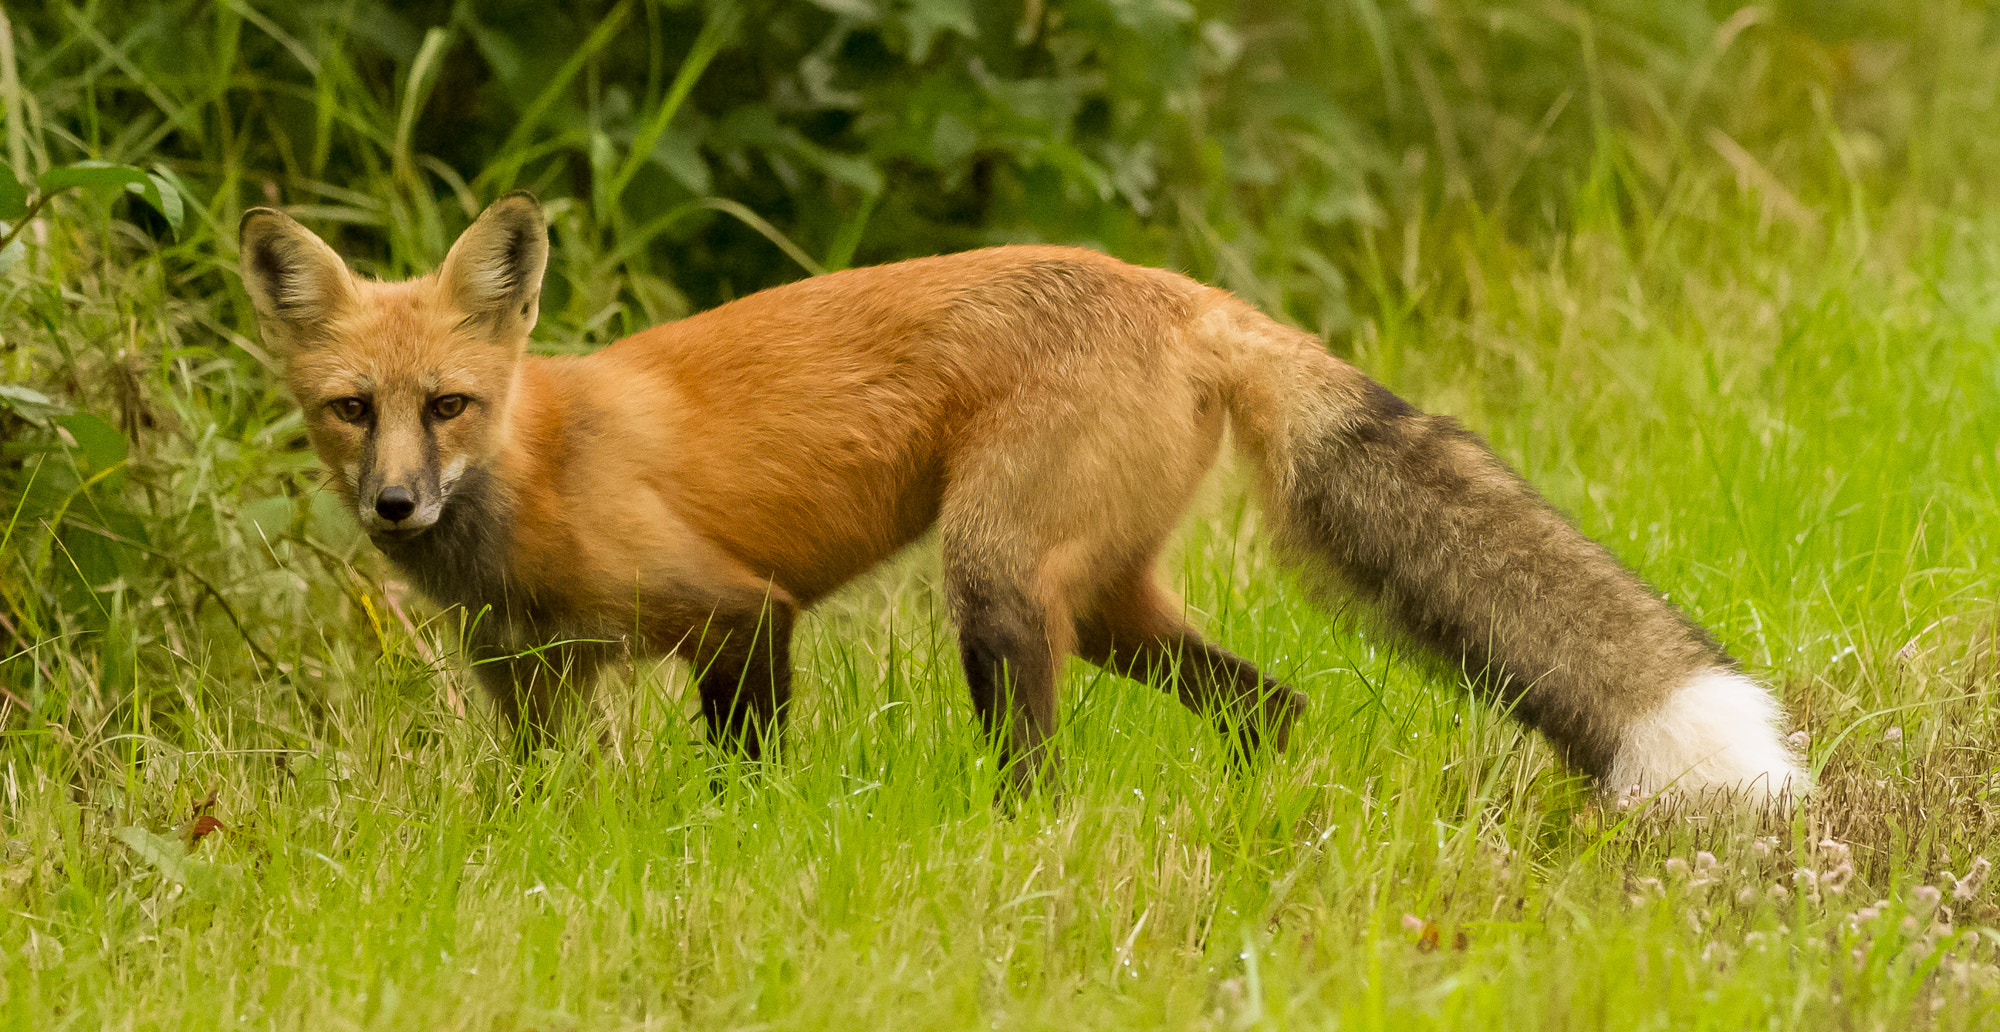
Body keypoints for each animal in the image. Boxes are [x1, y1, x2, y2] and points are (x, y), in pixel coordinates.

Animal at [242, 194, 1808, 808]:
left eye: (449, 404)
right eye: (351, 411)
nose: (395, 508)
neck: (533, 474)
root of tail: (1172, 288)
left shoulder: (738, 614)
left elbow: (742, 784)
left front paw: (734, 844)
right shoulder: (532, 686)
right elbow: (535, 810)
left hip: (994, 584)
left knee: (1047, 773)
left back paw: (1018, 845)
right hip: (1103, 599)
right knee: (1271, 706)